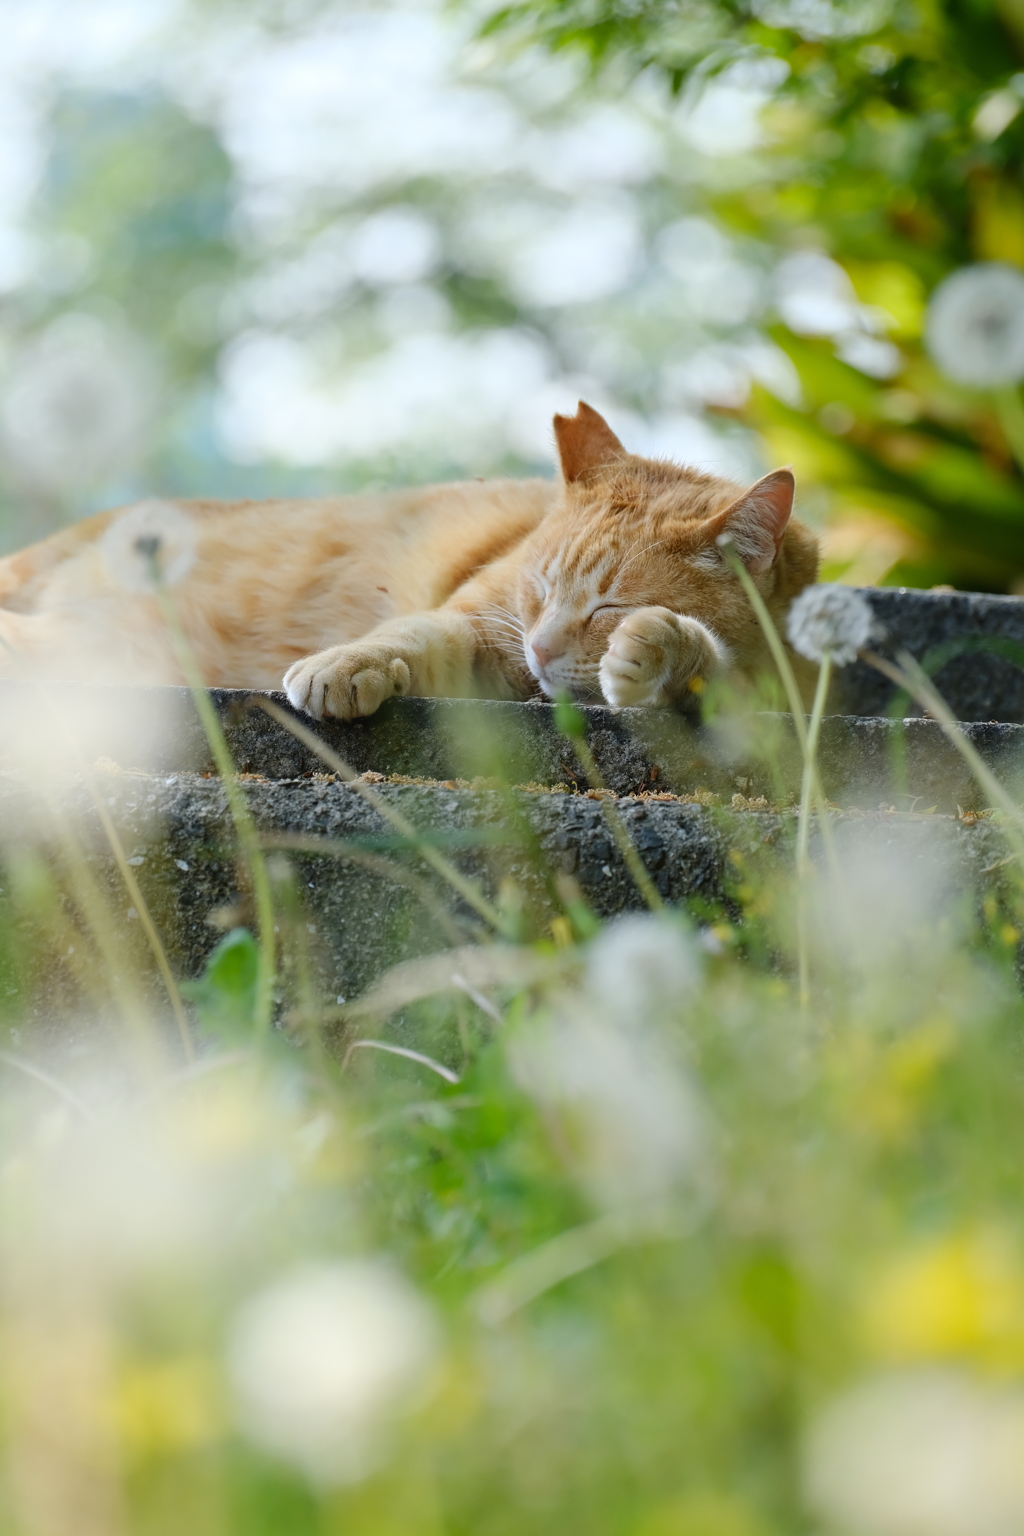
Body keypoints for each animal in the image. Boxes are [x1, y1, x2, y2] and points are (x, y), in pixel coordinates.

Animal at [0, 408, 816, 718]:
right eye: (539, 587)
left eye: (608, 607)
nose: (543, 647)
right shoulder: (478, 627)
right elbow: (412, 634)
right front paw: (345, 665)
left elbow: (707, 666)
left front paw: (658, 647)